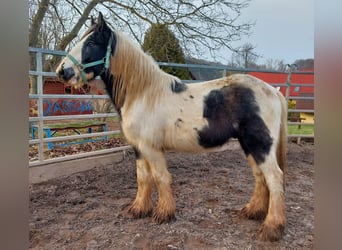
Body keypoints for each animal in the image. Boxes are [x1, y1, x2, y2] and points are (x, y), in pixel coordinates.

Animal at [56, 12, 288, 241]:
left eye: (91, 43)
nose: (62, 71)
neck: (143, 94)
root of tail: (273, 91)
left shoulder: (151, 148)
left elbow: (160, 178)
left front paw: (164, 213)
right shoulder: (138, 148)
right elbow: (143, 178)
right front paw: (139, 209)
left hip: (260, 144)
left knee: (274, 177)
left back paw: (271, 228)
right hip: (248, 145)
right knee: (260, 176)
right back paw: (253, 212)